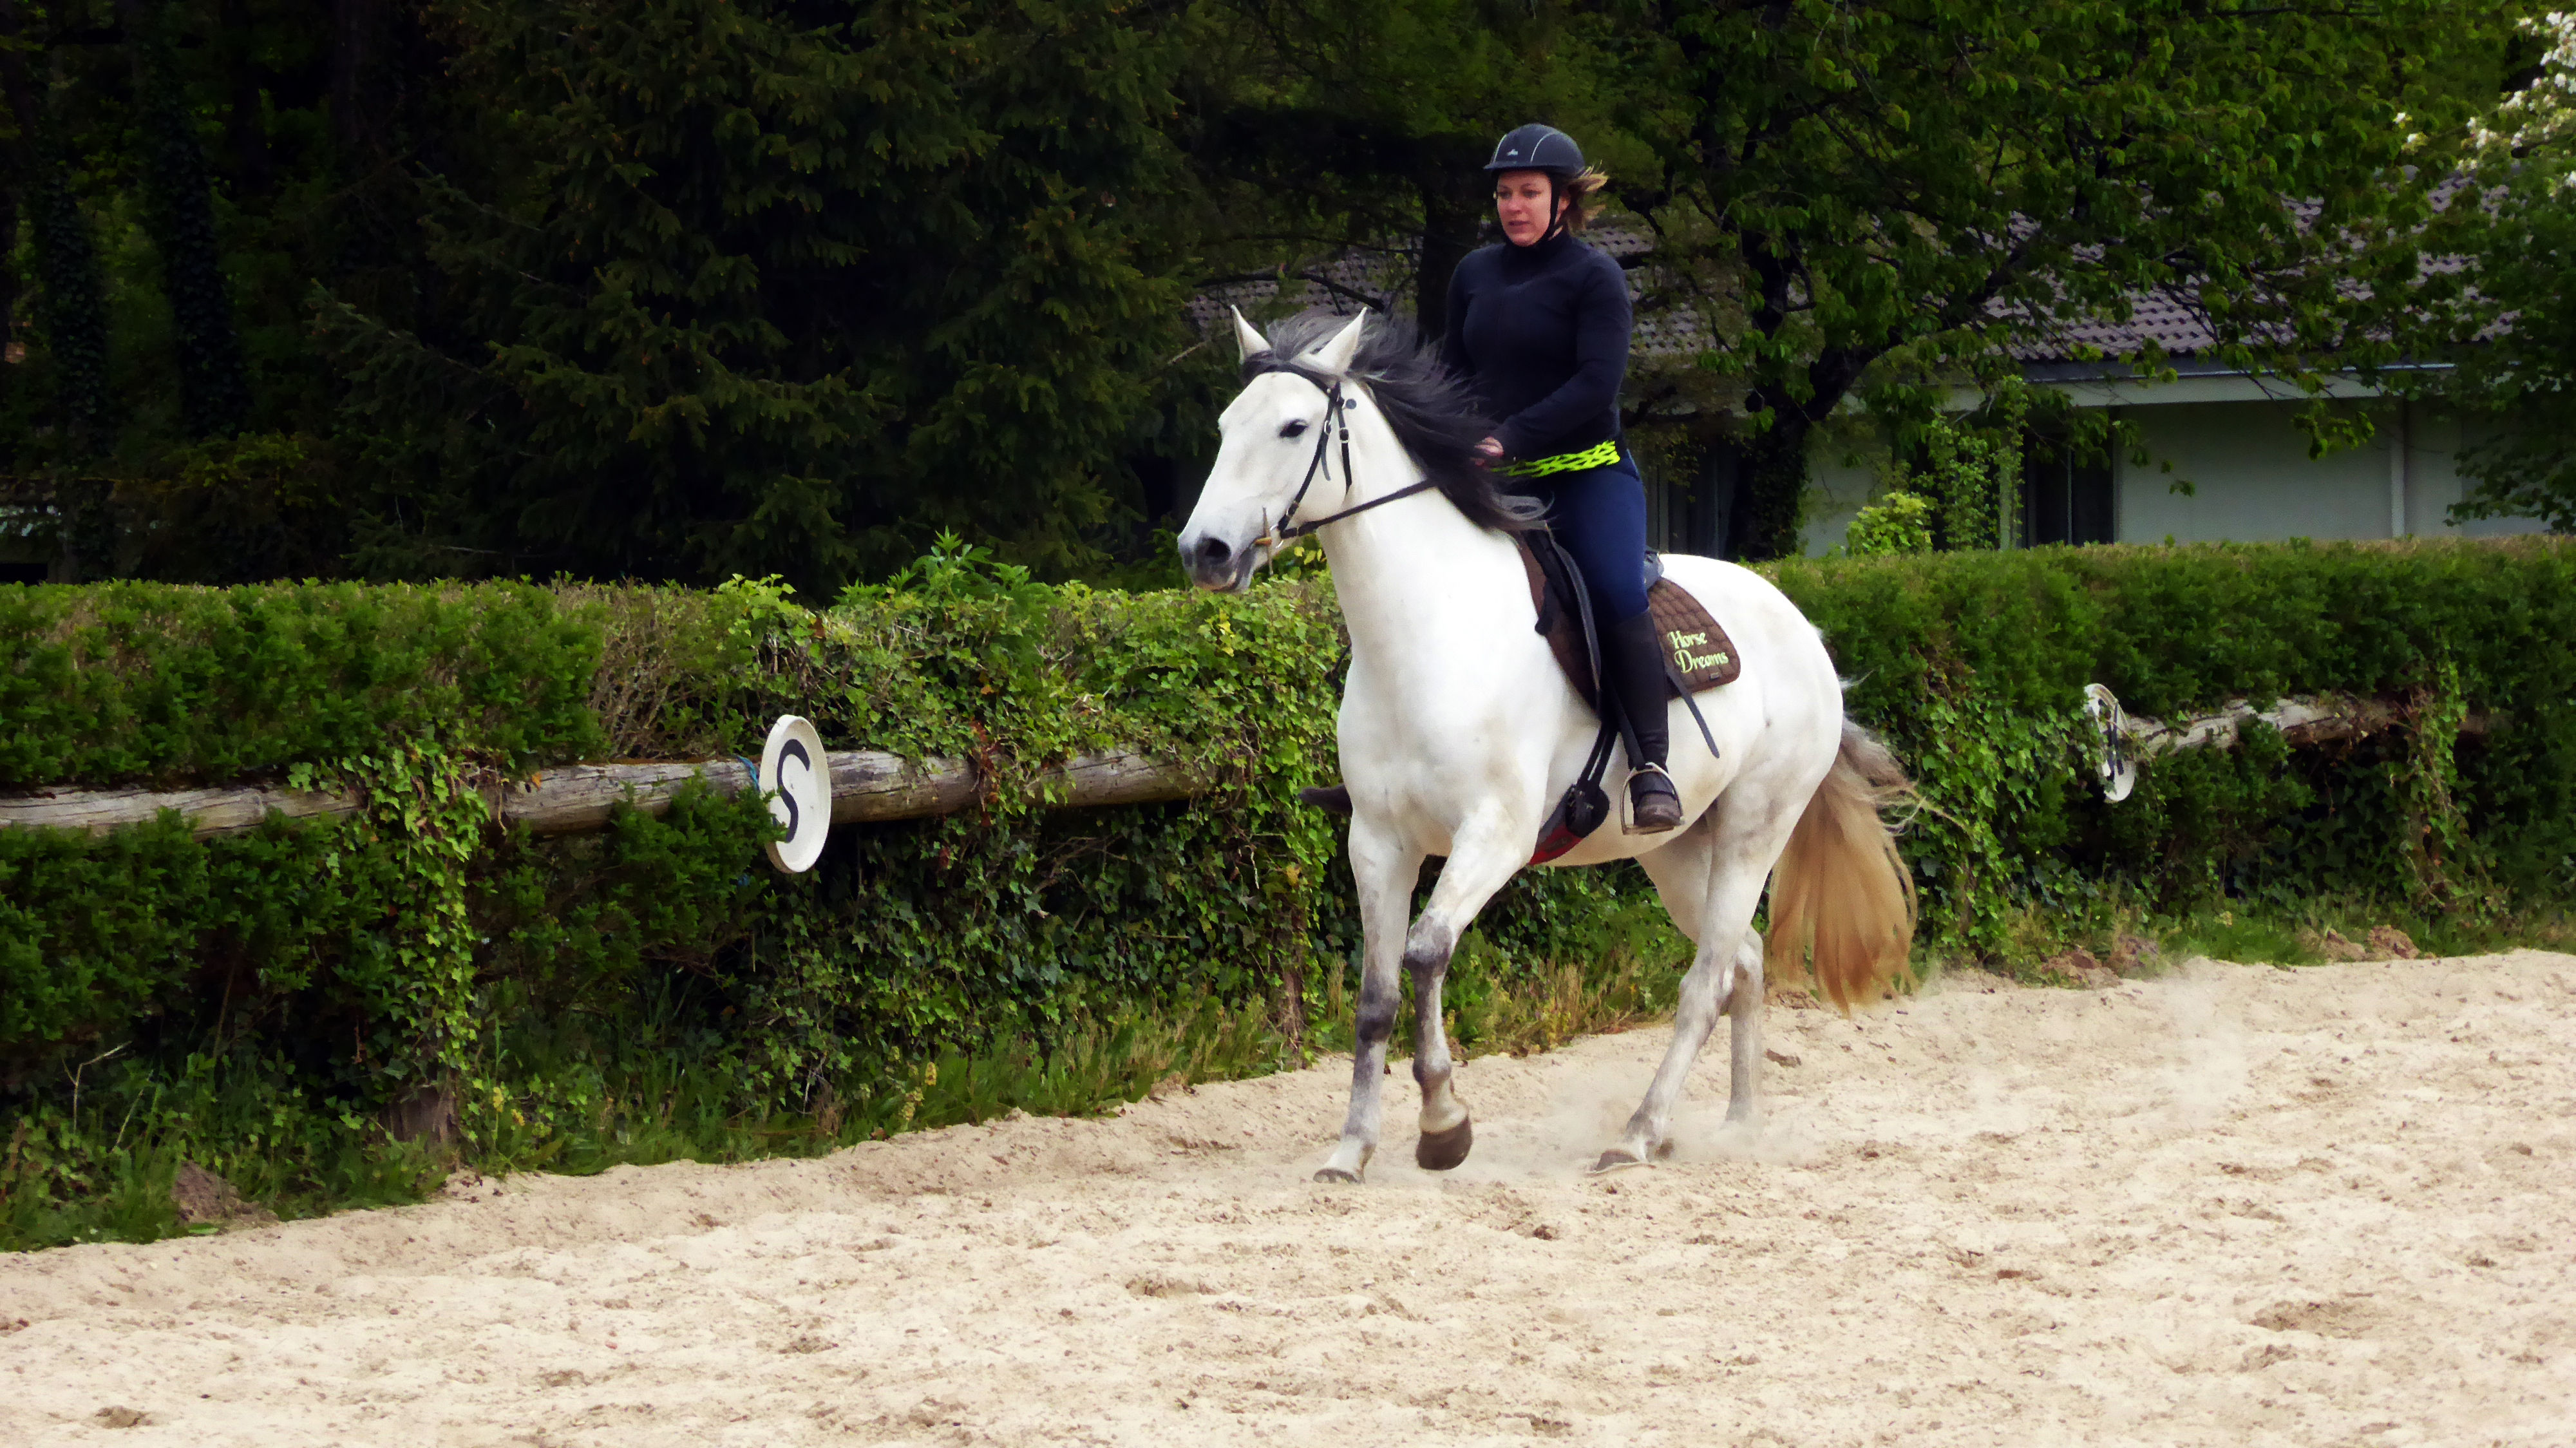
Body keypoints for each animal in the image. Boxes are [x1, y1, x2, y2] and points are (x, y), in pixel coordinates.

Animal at [1178, 307, 1916, 1181]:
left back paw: (1636, 1133)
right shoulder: (1379, 842)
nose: (1204, 551)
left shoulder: (1494, 835)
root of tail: (1804, 629)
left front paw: (1444, 1124)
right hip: (1673, 849)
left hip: (1752, 830)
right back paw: (1736, 1125)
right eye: (1224, 425)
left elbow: (1426, 954)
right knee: (1744, 959)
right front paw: (1351, 1149)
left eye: (1294, 427)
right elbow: (1376, 994)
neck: (1424, 634)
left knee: (1704, 980)